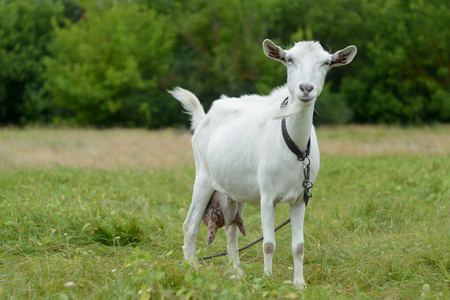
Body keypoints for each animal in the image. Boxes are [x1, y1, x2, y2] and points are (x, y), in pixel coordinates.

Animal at [171, 39, 356, 288]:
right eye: (289, 59)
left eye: (326, 63)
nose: (306, 88)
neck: (293, 146)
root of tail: (204, 118)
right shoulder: (267, 196)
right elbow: (268, 244)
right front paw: (267, 280)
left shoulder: (300, 198)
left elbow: (299, 246)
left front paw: (300, 284)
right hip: (203, 178)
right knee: (190, 225)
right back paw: (194, 270)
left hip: (236, 191)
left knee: (231, 230)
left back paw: (237, 273)